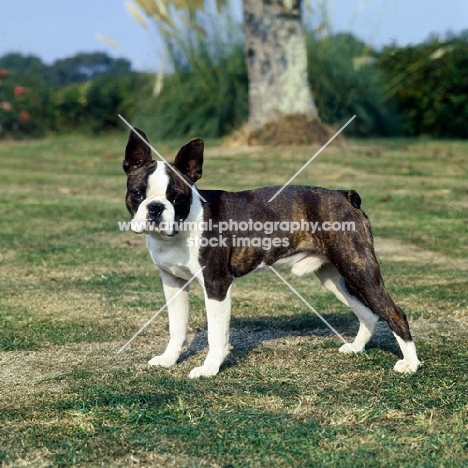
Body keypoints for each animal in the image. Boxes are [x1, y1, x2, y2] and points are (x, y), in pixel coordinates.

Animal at [122, 130, 422, 378]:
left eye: (177, 198)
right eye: (137, 194)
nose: (156, 208)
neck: (181, 229)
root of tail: (344, 196)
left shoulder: (216, 283)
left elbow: (216, 334)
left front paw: (209, 369)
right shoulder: (173, 284)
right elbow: (177, 327)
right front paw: (168, 360)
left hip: (360, 269)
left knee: (394, 313)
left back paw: (411, 364)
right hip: (335, 277)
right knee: (369, 313)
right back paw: (357, 348)